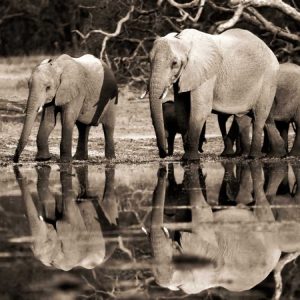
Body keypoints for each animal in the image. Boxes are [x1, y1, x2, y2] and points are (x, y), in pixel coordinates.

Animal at [148, 27, 286, 161]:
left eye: (174, 63)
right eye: (149, 61)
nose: (163, 154)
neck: (184, 40)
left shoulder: (207, 73)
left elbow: (201, 109)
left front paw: (190, 159)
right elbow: (181, 109)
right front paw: (186, 156)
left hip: (269, 78)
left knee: (259, 116)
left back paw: (254, 157)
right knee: (265, 118)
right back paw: (277, 155)